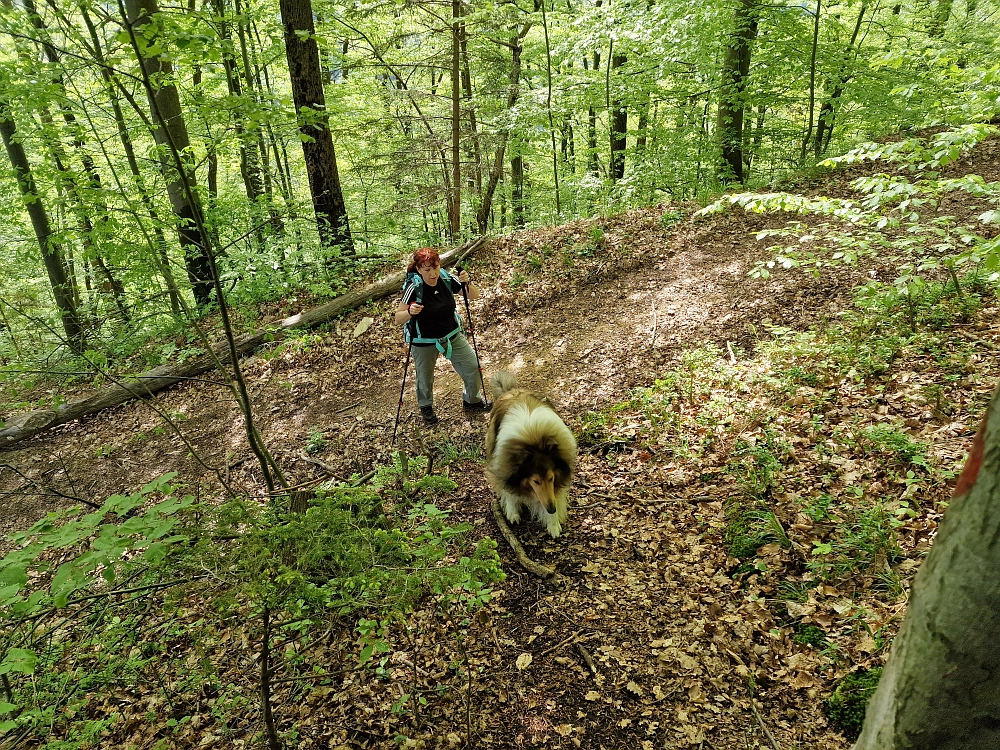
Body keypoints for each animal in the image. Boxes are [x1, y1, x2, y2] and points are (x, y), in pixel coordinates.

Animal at [486, 372, 580, 536]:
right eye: (536, 481)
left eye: (551, 478)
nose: (551, 509)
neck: (533, 439)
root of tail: (510, 390)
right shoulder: (505, 464)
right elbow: (508, 490)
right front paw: (512, 512)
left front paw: (553, 524)